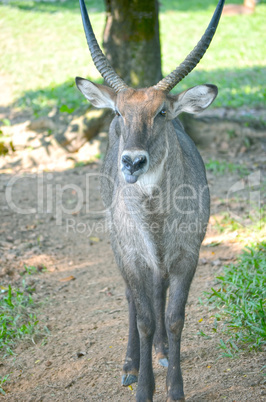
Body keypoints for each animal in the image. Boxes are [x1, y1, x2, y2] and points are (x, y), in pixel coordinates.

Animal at [76, 1, 225, 400]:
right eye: (119, 112)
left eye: (161, 112)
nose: (132, 162)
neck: (156, 219)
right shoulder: (130, 254)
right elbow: (143, 317)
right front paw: (143, 386)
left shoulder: (188, 254)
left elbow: (174, 318)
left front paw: (175, 387)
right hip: (122, 249)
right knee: (133, 298)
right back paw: (131, 363)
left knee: (159, 291)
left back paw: (160, 351)